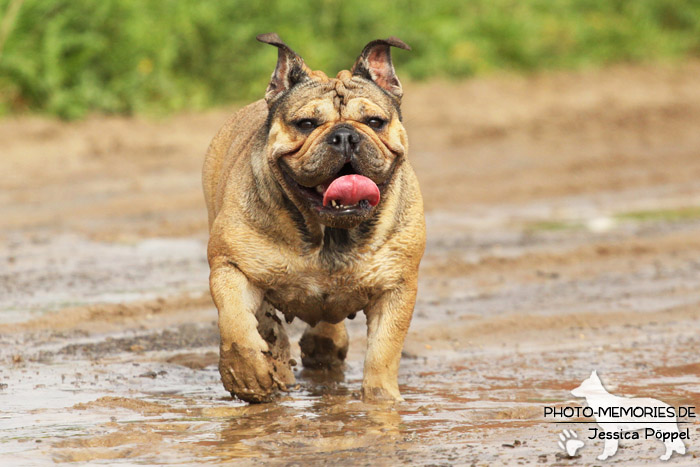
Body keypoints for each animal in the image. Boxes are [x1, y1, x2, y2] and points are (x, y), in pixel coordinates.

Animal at [200, 33, 424, 406]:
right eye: (306, 124)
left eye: (375, 122)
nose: (346, 135)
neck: (330, 232)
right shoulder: (230, 266)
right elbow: (236, 325)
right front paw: (248, 376)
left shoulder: (397, 287)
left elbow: (384, 351)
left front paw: (381, 399)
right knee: (263, 321)